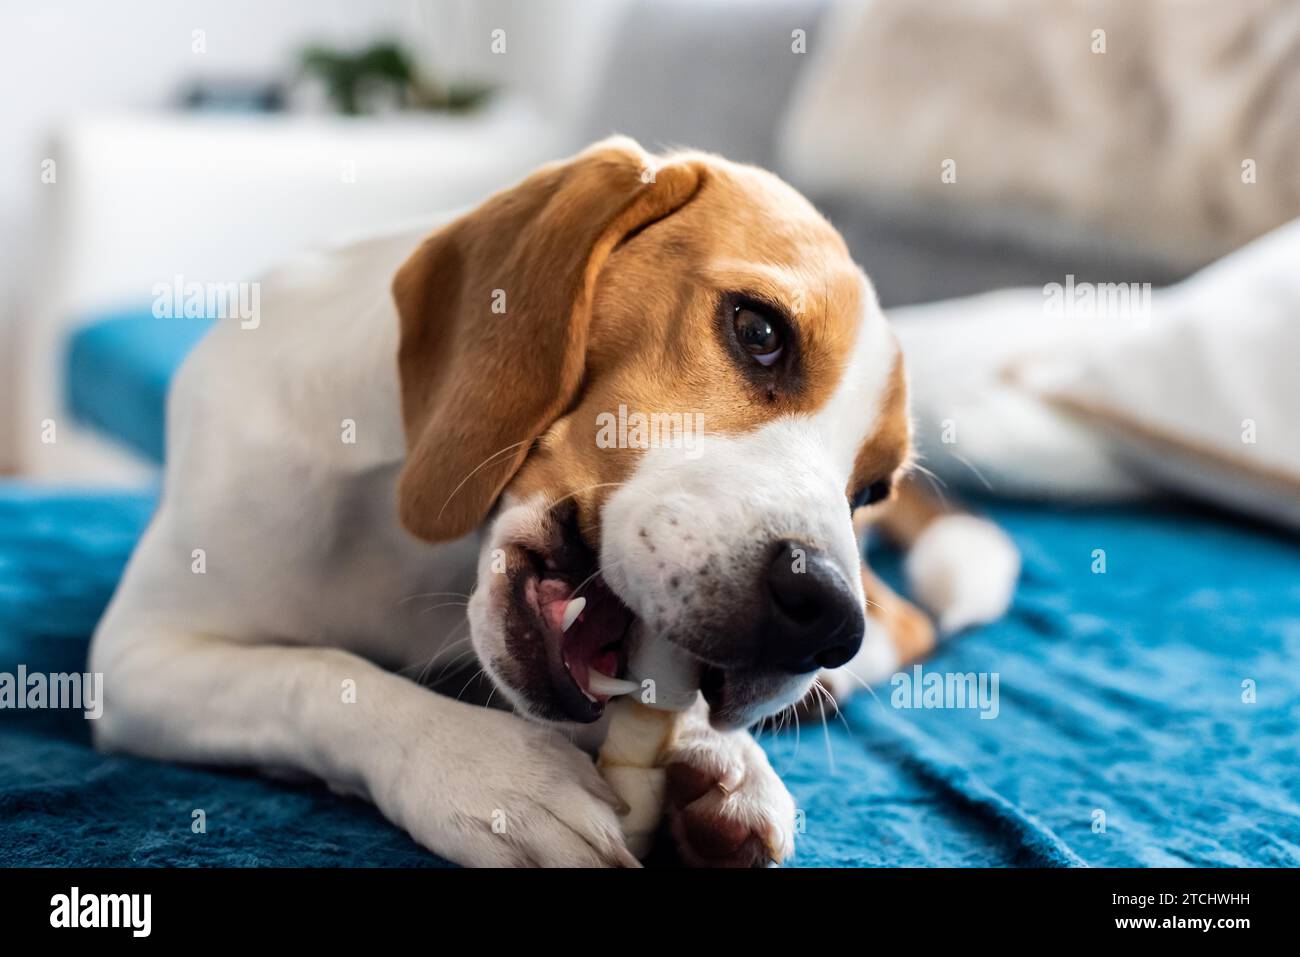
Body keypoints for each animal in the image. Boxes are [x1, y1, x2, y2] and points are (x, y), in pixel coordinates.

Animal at [89, 136, 1013, 868]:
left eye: (869, 488)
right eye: (759, 332)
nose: (823, 615)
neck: (421, 553)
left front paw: (724, 755)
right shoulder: (137, 658)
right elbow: (318, 675)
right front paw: (489, 772)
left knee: (908, 622)